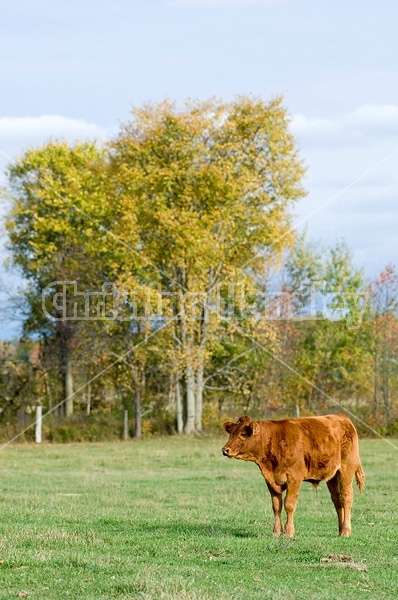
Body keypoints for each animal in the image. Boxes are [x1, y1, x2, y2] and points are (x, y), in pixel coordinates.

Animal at [222, 414, 366, 536]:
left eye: (243, 434)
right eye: (231, 433)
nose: (225, 450)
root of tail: (343, 418)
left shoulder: (294, 478)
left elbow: (289, 504)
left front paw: (289, 532)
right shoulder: (270, 481)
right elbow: (276, 506)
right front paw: (276, 532)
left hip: (346, 470)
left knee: (346, 498)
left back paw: (346, 531)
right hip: (332, 476)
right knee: (336, 500)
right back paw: (340, 530)